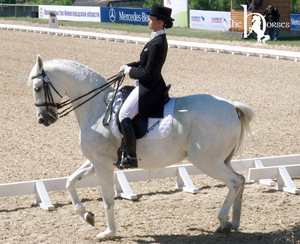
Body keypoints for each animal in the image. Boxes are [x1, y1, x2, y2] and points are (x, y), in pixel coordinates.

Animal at [27, 54, 253, 240]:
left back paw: (223, 222)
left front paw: (108, 233)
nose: (43, 120)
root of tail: (232, 107)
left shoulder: (102, 165)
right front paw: (87, 216)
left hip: (207, 161)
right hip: (221, 160)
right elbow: (70, 182)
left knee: (234, 182)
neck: (98, 110)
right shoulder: (96, 162)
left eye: (37, 88)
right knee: (241, 180)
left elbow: (108, 200)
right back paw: (234, 222)